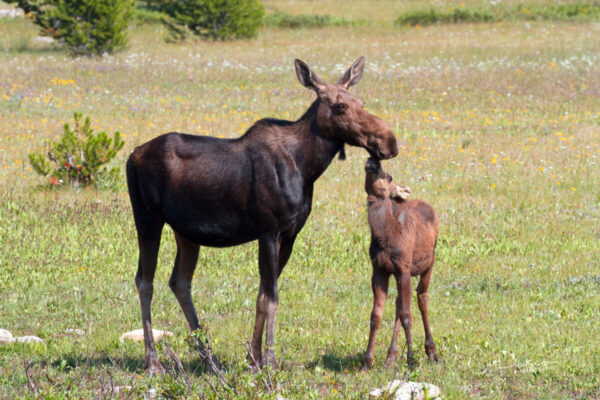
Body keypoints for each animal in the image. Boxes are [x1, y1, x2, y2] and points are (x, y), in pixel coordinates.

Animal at [125, 57, 398, 376]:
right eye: (340, 105)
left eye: (361, 102)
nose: (389, 141)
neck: (307, 167)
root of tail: (132, 155)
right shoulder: (269, 231)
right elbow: (272, 300)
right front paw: (268, 361)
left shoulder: (289, 236)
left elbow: (262, 296)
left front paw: (252, 359)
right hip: (147, 219)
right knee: (145, 281)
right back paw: (153, 361)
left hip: (186, 232)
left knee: (179, 281)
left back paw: (209, 357)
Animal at [360, 158, 440, 370]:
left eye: (389, 177)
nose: (373, 161)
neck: (383, 236)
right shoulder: (379, 270)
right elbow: (376, 315)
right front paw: (367, 361)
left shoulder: (403, 268)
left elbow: (406, 315)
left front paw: (412, 359)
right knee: (399, 303)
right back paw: (391, 356)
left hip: (428, 264)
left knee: (422, 298)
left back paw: (432, 351)